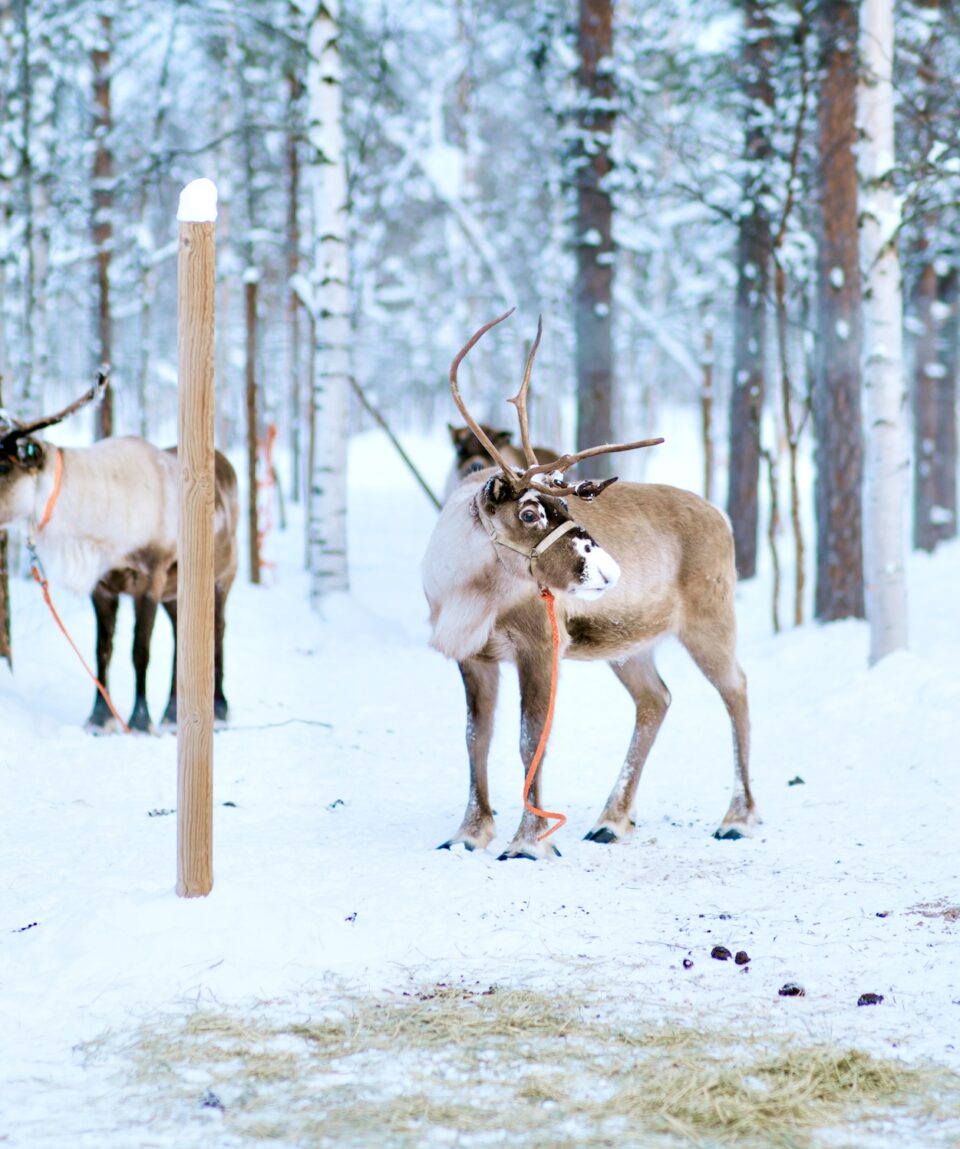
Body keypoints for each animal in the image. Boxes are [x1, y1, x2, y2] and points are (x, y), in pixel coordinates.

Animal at [0, 376, 239, 733]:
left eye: (3, 466)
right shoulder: (102, 586)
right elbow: (103, 650)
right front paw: (99, 718)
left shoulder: (150, 577)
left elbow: (140, 651)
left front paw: (140, 720)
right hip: (175, 593)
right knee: (181, 636)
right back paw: (172, 714)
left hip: (224, 575)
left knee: (219, 632)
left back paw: (220, 709)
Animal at [422, 310, 757, 860]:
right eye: (529, 511)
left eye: (563, 506)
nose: (608, 572)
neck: (467, 596)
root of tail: (721, 517)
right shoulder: (474, 656)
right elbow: (475, 737)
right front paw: (468, 834)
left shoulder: (540, 646)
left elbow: (529, 739)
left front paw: (528, 844)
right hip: (629, 645)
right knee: (656, 699)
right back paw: (611, 821)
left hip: (711, 619)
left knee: (737, 689)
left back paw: (738, 819)